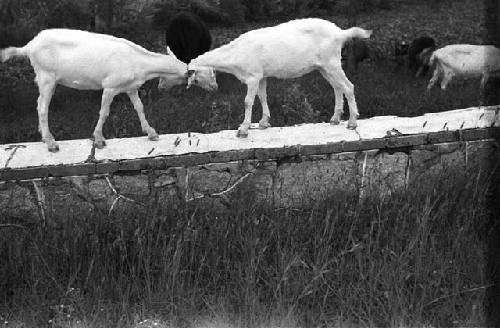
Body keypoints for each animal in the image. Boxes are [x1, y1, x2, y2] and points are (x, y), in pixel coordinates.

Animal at [0, 28, 218, 151]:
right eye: (208, 72)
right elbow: (104, 111)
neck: (140, 62)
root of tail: (29, 46)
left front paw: (151, 132)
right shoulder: (110, 86)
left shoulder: (130, 88)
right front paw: (98, 139)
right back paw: (50, 142)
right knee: (42, 107)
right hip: (47, 77)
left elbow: (139, 108)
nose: (215, 87)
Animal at [188, 18, 372, 137]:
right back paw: (335, 118)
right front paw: (264, 122)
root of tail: (340, 33)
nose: (214, 88)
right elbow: (262, 97)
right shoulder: (261, 76)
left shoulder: (253, 76)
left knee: (348, 86)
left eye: (195, 79)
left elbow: (248, 101)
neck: (235, 53)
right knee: (337, 87)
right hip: (324, 67)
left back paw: (352, 122)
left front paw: (243, 129)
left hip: (331, 62)